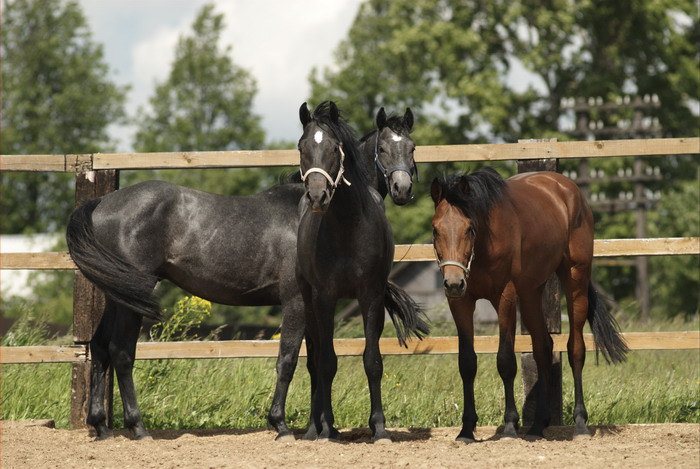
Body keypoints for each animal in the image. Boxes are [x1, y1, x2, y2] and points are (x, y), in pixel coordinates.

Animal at [65, 101, 418, 438]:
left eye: (412, 147)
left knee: (99, 347)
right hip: (132, 298)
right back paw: (137, 427)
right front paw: (282, 425)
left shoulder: (314, 305)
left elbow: (315, 364)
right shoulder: (297, 301)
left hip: (117, 295)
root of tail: (101, 204)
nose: (401, 188)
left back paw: (100, 426)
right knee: (121, 352)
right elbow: (288, 359)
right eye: (302, 147)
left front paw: (319, 428)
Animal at [292, 99, 430, 442]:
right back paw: (315, 427)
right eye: (302, 146)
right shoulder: (325, 297)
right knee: (315, 361)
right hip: (308, 301)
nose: (318, 196)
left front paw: (378, 427)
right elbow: (327, 362)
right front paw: (326, 427)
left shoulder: (371, 296)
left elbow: (373, 360)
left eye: (412, 147)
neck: (346, 225)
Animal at [430, 168, 628, 442]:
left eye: (469, 228)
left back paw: (580, 424)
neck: (485, 242)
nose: (453, 282)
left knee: (575, 349)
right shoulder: (461, 303)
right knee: (543, 347)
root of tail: (566, 187)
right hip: (531, 292)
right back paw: (537, 426)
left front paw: (510, 426)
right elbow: (467, 363)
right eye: (435, 229)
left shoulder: (505, 298)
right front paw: (466, 430)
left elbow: (505, 361)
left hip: (575, 280)